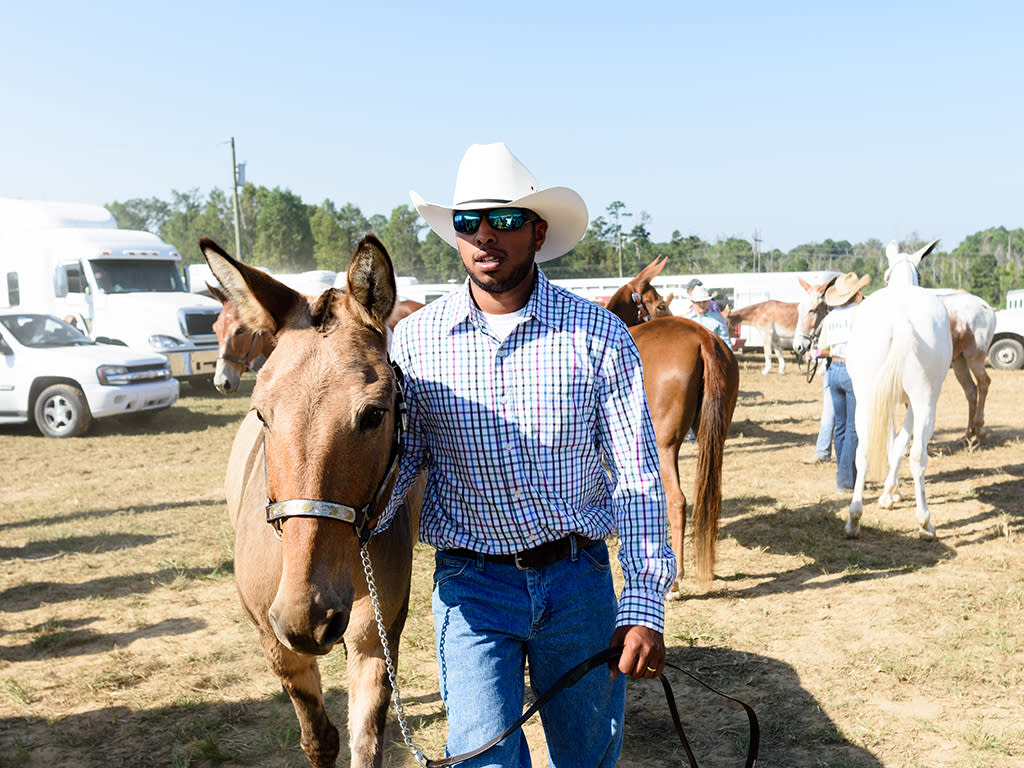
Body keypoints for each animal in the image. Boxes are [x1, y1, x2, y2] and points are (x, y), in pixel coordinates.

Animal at [201, 236, 413, 768]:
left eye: (375, 414)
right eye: (262, 413)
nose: (307, 616)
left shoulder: (375, 636)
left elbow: (366, 743)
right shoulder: (279, 645)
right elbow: (320, 740)